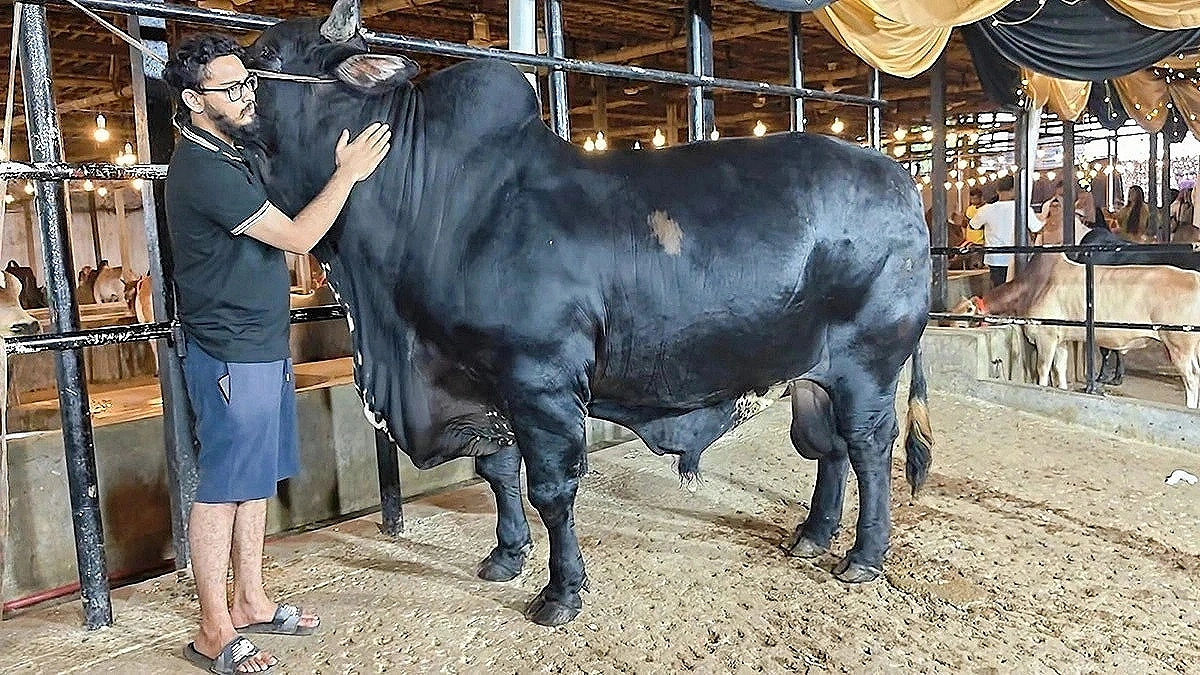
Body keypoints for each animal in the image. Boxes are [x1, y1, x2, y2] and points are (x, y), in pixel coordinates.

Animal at [241, 0, 934, 626]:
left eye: (268, 53)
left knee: (869, 447)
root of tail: (901, 179)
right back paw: (813, 535)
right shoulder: (483, 384)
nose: (209, 53)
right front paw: (504, 557)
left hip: (870, 362)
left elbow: (551, 490)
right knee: (829, 446)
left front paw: (560, 592)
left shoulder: (540, 380)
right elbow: (497, 472)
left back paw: (863, 556)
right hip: (813, 370)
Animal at [953, 252, 1200, 408]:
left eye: (963, 318)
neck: (1032, 288)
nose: (948, 326)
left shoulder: (1046, 337)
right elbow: (1060, 370)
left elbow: (1043, 370)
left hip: (1178, 343)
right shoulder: (1062, 339)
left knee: (1191, 378)